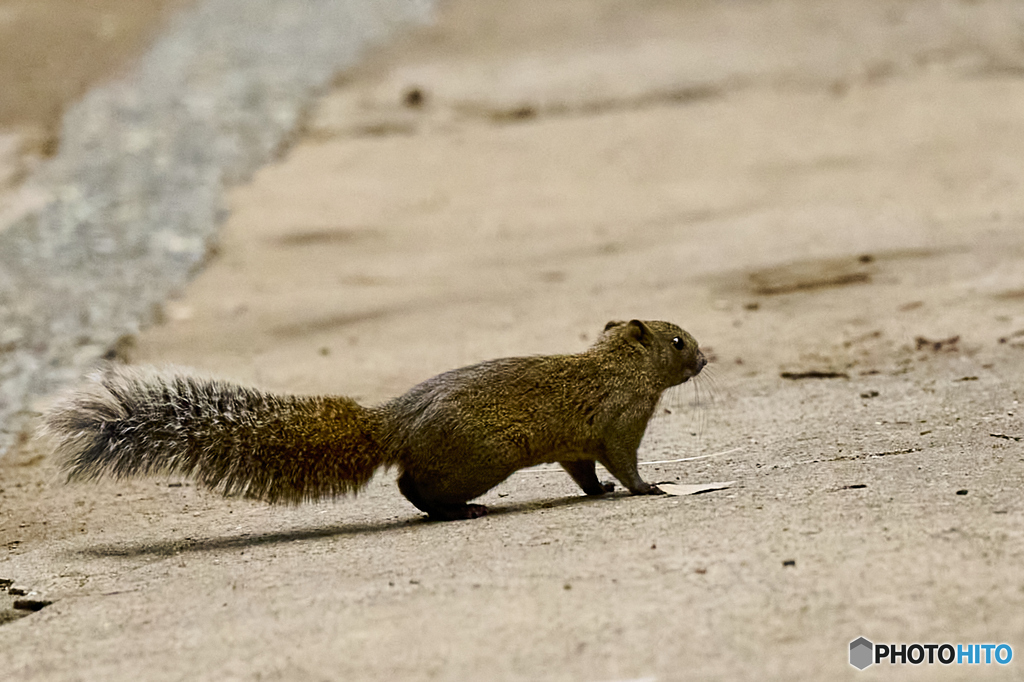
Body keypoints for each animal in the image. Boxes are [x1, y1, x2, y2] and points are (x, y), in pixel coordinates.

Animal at [44, 321, 708, 518]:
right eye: (677, 340)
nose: (705, 359)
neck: (617, 366)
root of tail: (395, 424)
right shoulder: (620, 422)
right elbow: (622, 461)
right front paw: (647, 488)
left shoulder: (576, 442)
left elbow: (583, 470)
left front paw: (598, 492)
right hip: (478, 459)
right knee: (414, 487)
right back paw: (462, 510)